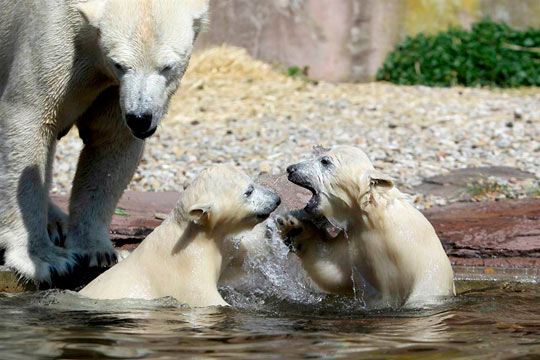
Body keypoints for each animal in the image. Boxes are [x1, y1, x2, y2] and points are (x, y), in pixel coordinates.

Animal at [0, 0, 209, 282]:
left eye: (167, 66)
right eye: (119, 64)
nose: (140, 118)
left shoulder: (113, 89)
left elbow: (111, 141)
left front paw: (97, 251)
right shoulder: (54, 34)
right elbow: (28, 123)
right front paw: (44, 259)